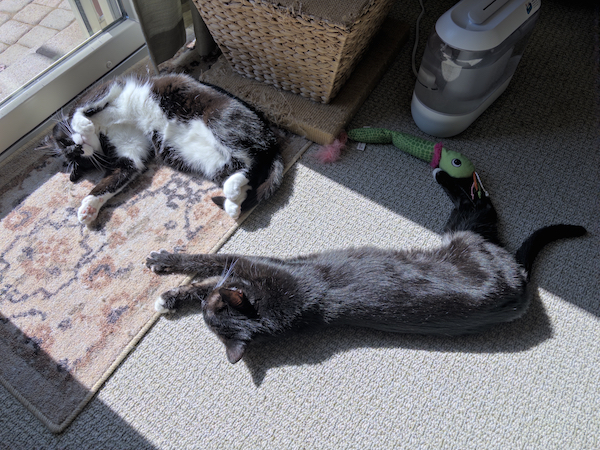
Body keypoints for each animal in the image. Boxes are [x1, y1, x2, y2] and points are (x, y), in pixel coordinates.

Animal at [144, 171, 584, 364]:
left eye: (215, 310)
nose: (208, 309)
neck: (273, 307)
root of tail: (520, 280)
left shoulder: (251, 262)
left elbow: (206, 263)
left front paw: (164, 265)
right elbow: (202, 281)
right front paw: (172, 297)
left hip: (463, 231)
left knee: (478, 201)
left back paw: (448, 173)